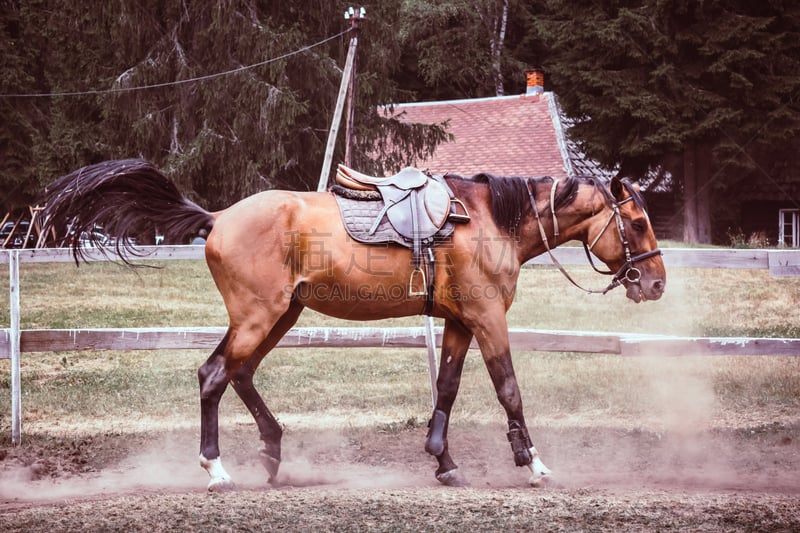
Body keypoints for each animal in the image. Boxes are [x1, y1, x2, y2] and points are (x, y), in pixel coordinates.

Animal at [37, 159, 664, 490]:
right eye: (635, 222)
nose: (656, 283)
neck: (491, 222)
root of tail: (217, 217)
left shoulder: (460, 323)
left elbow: (447, 388)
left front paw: (443, 460)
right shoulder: (488, 320)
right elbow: (509, 389)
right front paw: (531, 461)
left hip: (281, 316)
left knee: (237, 375)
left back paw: (272, 451)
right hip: (258, 317)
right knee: (213, 375)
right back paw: (216, 469)